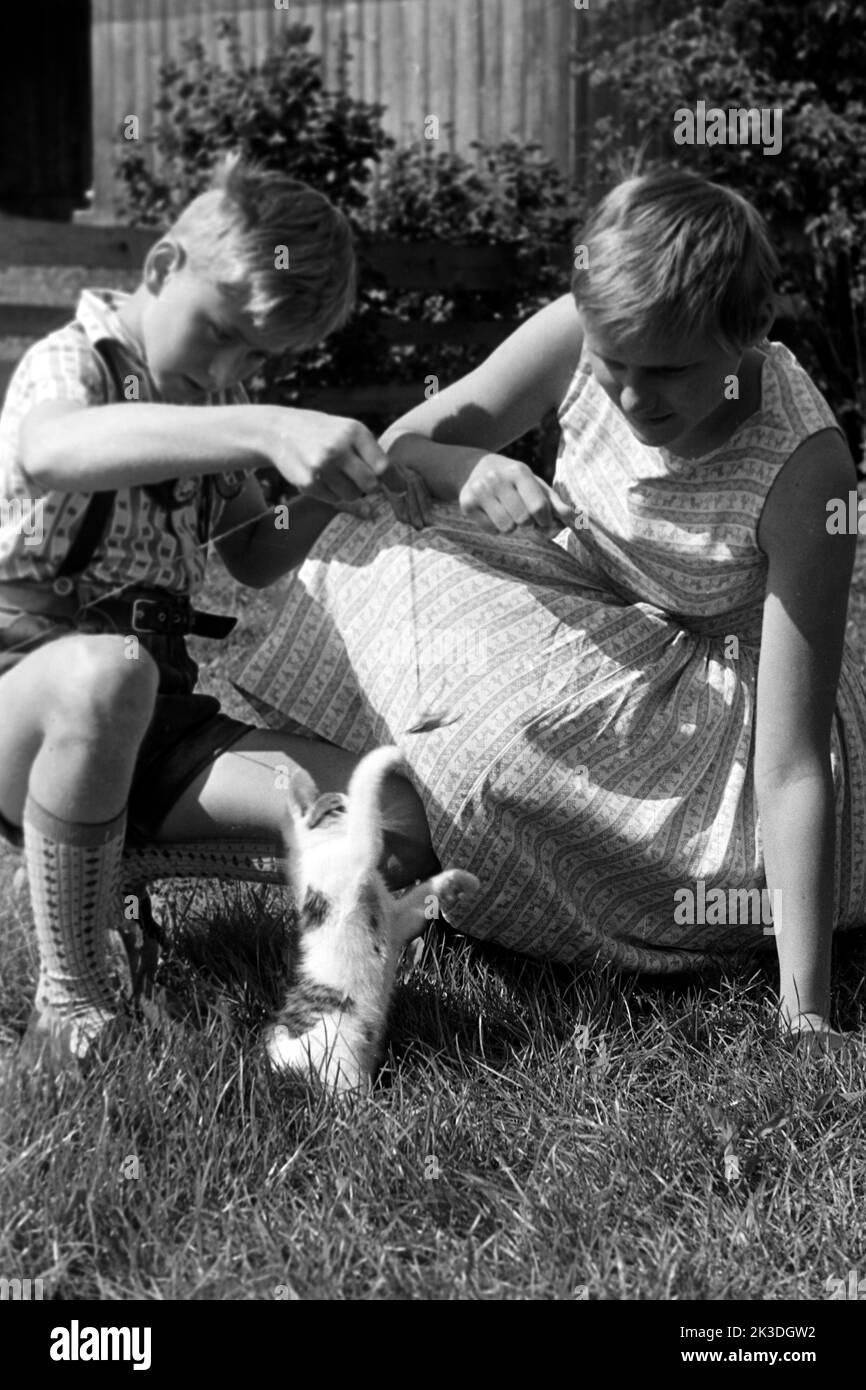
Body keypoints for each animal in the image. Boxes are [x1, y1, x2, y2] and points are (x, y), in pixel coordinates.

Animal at [264, 745, 480, 1089]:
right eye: (338, 806)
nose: (345, 804)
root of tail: (282, 1052)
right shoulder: (357, 852)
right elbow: (364, 787)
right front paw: (389, 754)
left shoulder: (396, 921)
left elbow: (423, 896)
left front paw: (460, 881)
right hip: (340, 1052)